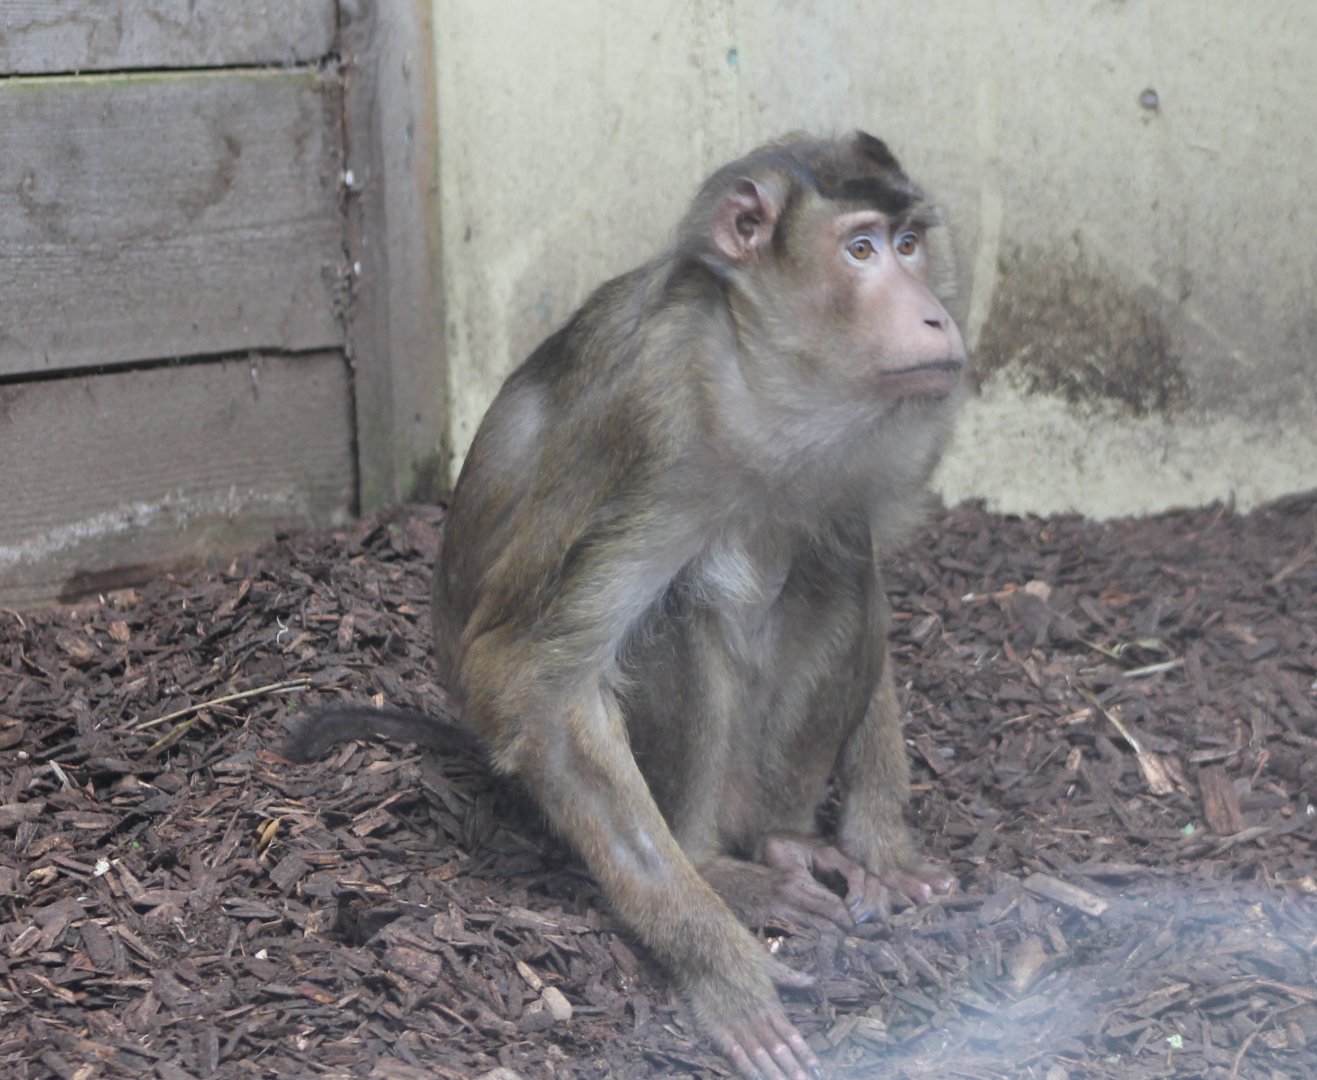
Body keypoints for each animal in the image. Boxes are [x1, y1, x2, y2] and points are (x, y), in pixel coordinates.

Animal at [289, 131, 965, 1080]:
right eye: (860, 250)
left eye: (909, 245)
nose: (935, 315)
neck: (754, 378)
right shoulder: (654, 421)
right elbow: (539, 688)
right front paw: (722, 969)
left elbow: (850, 542)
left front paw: (886, 848)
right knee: (672, 614)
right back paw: (721, 865)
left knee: (835, 555)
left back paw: (784, 840)